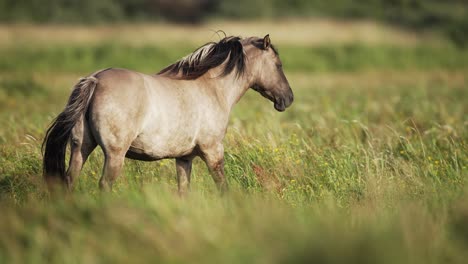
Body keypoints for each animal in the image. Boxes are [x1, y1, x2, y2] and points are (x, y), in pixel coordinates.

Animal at [43, 34, 292, 194]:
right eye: (278, 65)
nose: (288, 98)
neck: (212, 88)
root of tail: (95, 80)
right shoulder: (213, 151)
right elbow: (223, 187)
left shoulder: (184, 158)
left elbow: (184, 191)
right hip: (114, 154)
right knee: (104, 184)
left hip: (81, 146)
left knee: (70, 179)